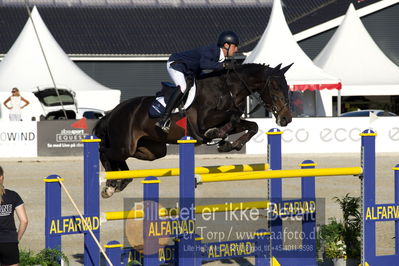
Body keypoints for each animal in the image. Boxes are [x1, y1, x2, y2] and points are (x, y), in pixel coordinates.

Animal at [94, 62, 294, 197]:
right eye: (275, 87)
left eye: (287, 86)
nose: (286, 119)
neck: (228, 89)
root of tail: (112, 113)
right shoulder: (204, 121)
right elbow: (233, 115)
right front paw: (218, 137)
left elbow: (252, 125)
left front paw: (229, 145)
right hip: (125, 144)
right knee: (105, 151)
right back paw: (110, 184)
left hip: (150, 151)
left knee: (120, 158)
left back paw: (121, 181)